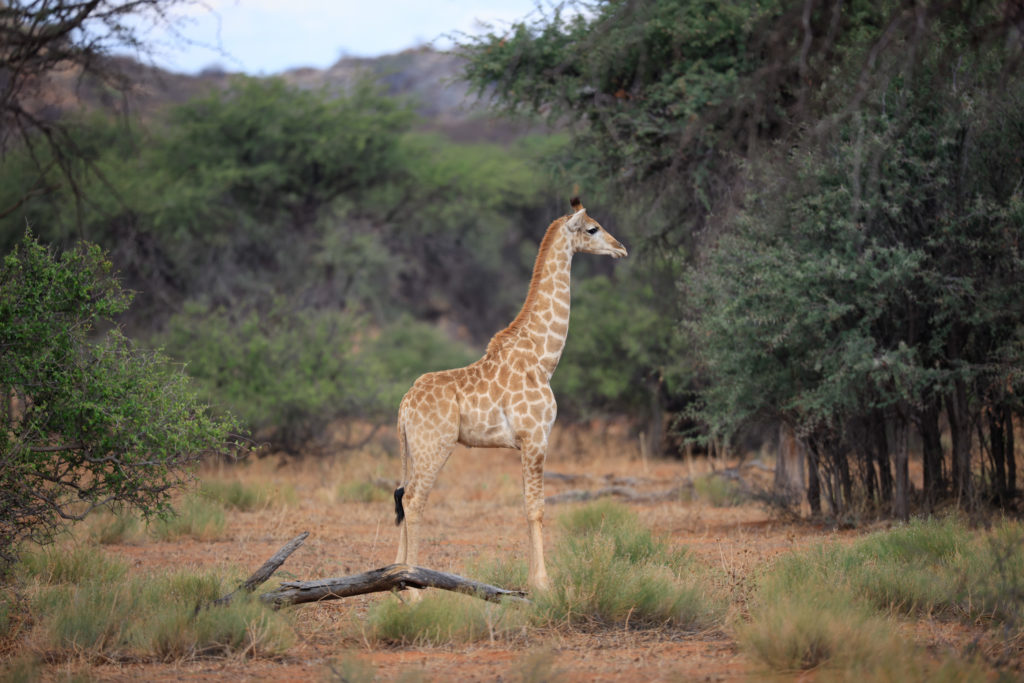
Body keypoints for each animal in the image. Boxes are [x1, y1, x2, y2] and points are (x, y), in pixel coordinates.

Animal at [392, 197, 627, 593]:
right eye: (592, 228)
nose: (621, 248)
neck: (543, 358)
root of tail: (404, 404)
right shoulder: (536, 438)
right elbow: (537, 508)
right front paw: (544, 584)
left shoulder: (525, 444)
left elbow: (525, 506)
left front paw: (532, 582)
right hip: (434, 447)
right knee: (413, 500)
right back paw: (411, 589)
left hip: (414, 449)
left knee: (401, 496)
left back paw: (394, 578)